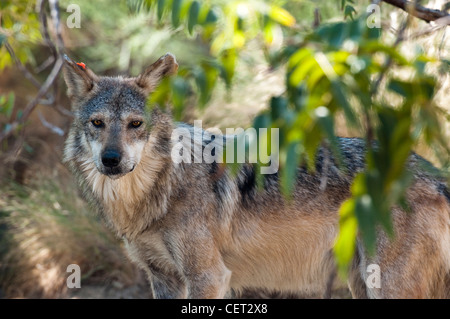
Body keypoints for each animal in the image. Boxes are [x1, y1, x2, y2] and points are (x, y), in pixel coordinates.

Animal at [62, 53, 450, 300]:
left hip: (386, 284)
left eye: (135, 124)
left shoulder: (209, 276)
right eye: (97, 123)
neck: (157, 191)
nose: (111, 160)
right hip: (362, 282)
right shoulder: (163, 278)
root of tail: (434, 174)